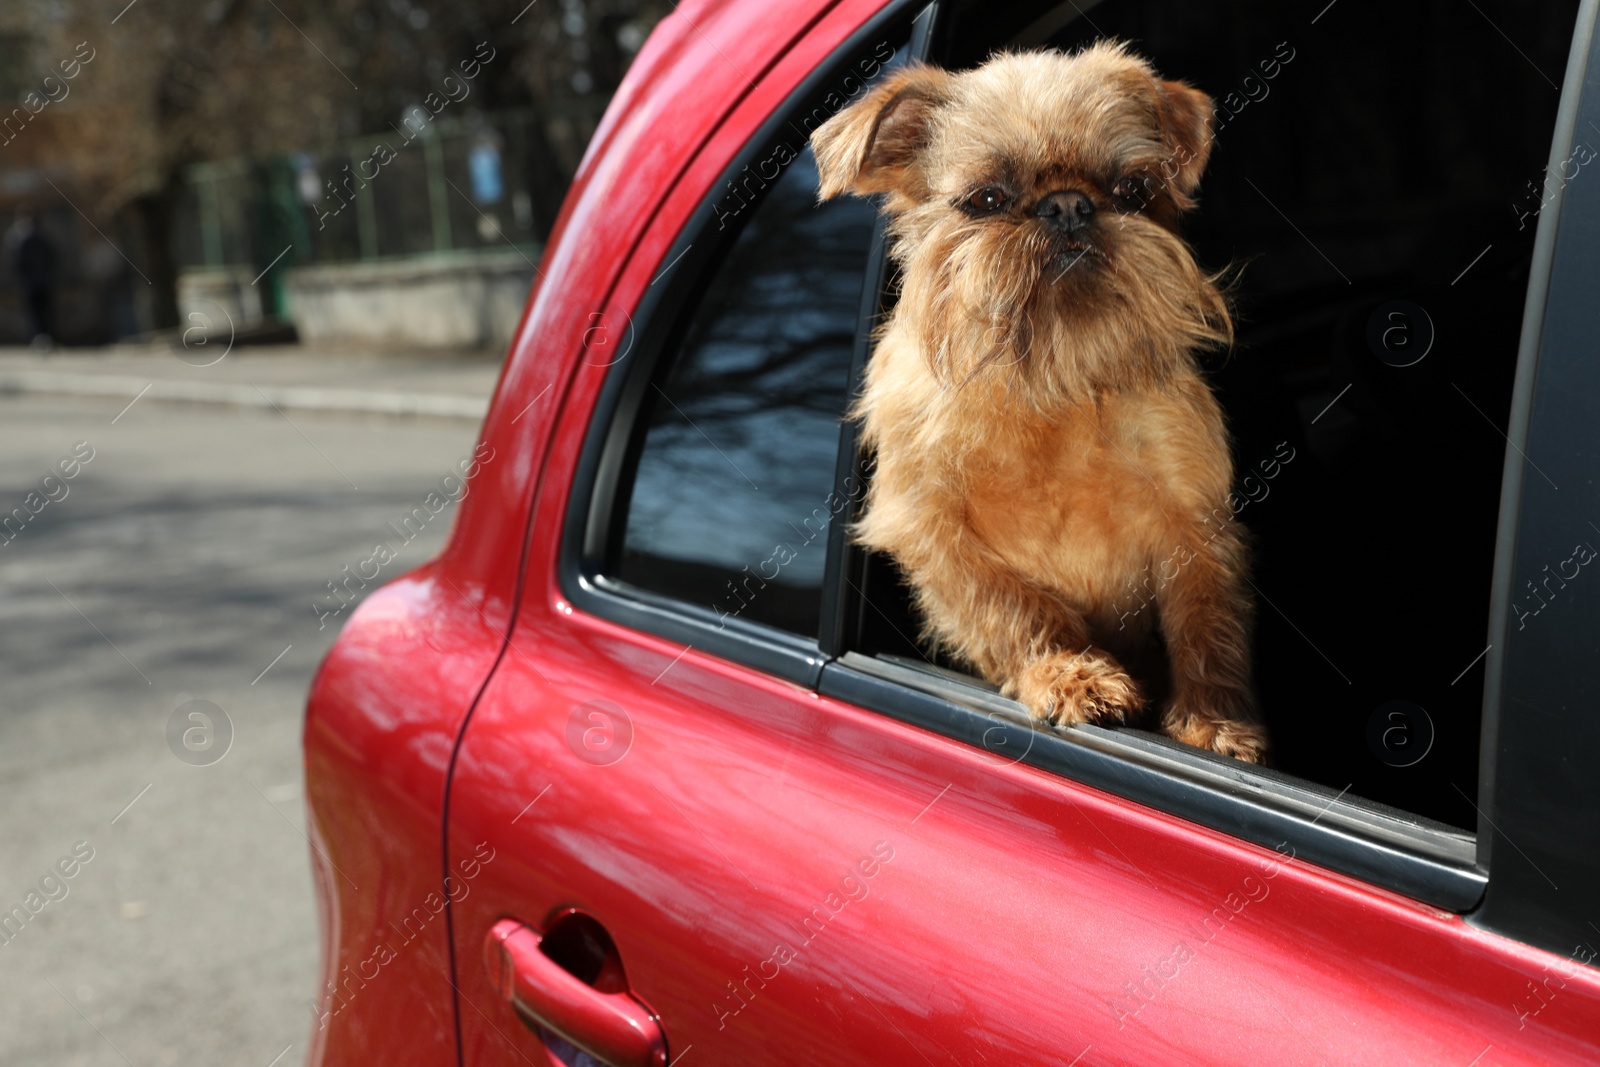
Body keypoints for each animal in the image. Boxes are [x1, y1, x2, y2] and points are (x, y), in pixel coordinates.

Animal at [819, 41, 1267, 758]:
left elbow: (1206, 620)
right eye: (986, 198)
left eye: (1133, 191)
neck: (1048, 382)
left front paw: (1213, 721)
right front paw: (1068, 672)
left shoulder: (1192, 519)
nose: (1067, 205)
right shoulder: (931, 526)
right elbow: (1008, 604)